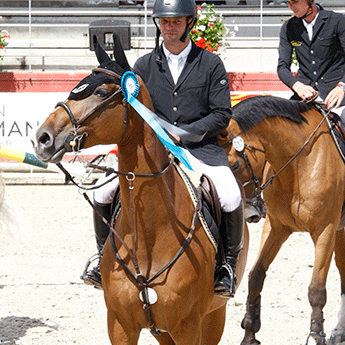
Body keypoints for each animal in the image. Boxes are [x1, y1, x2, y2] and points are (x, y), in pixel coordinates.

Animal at [30, 35, 249, 344]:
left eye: (101, 92)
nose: (43, 138)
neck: (150, 235)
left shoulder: (188, 326)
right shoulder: (120, 324)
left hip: (214, 316)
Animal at [224, 95, 344, 344]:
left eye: (235, 165)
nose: (248, 213)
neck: (298, 164)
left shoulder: (325, 229)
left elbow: (317, 289)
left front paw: (315, 336)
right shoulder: (277, 227)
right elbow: (255, 275)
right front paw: (249, 331)